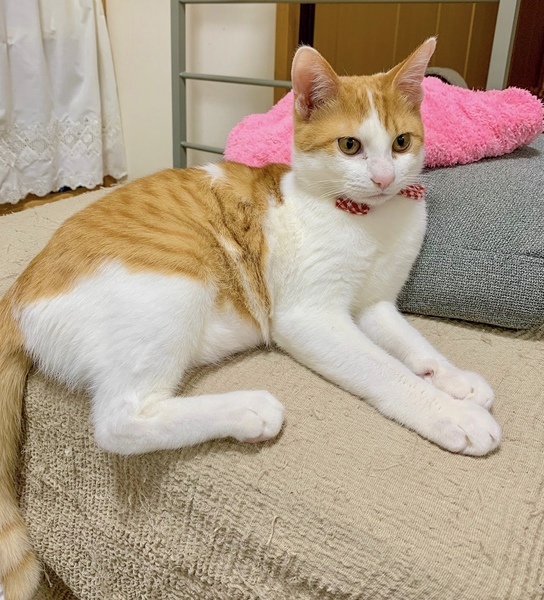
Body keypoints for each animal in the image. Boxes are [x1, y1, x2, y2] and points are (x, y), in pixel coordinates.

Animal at [0, 38, 501, 599]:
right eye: (350, 145)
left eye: (401, 143)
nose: (383, 179)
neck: (370, 222)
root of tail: (19, 288)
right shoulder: (309, 318)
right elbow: (386, 371)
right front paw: (454, 415)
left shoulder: (374, 307)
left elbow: (413, 344)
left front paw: (454, 379)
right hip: (178, 282)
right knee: (119, 421)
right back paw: (248, 410)